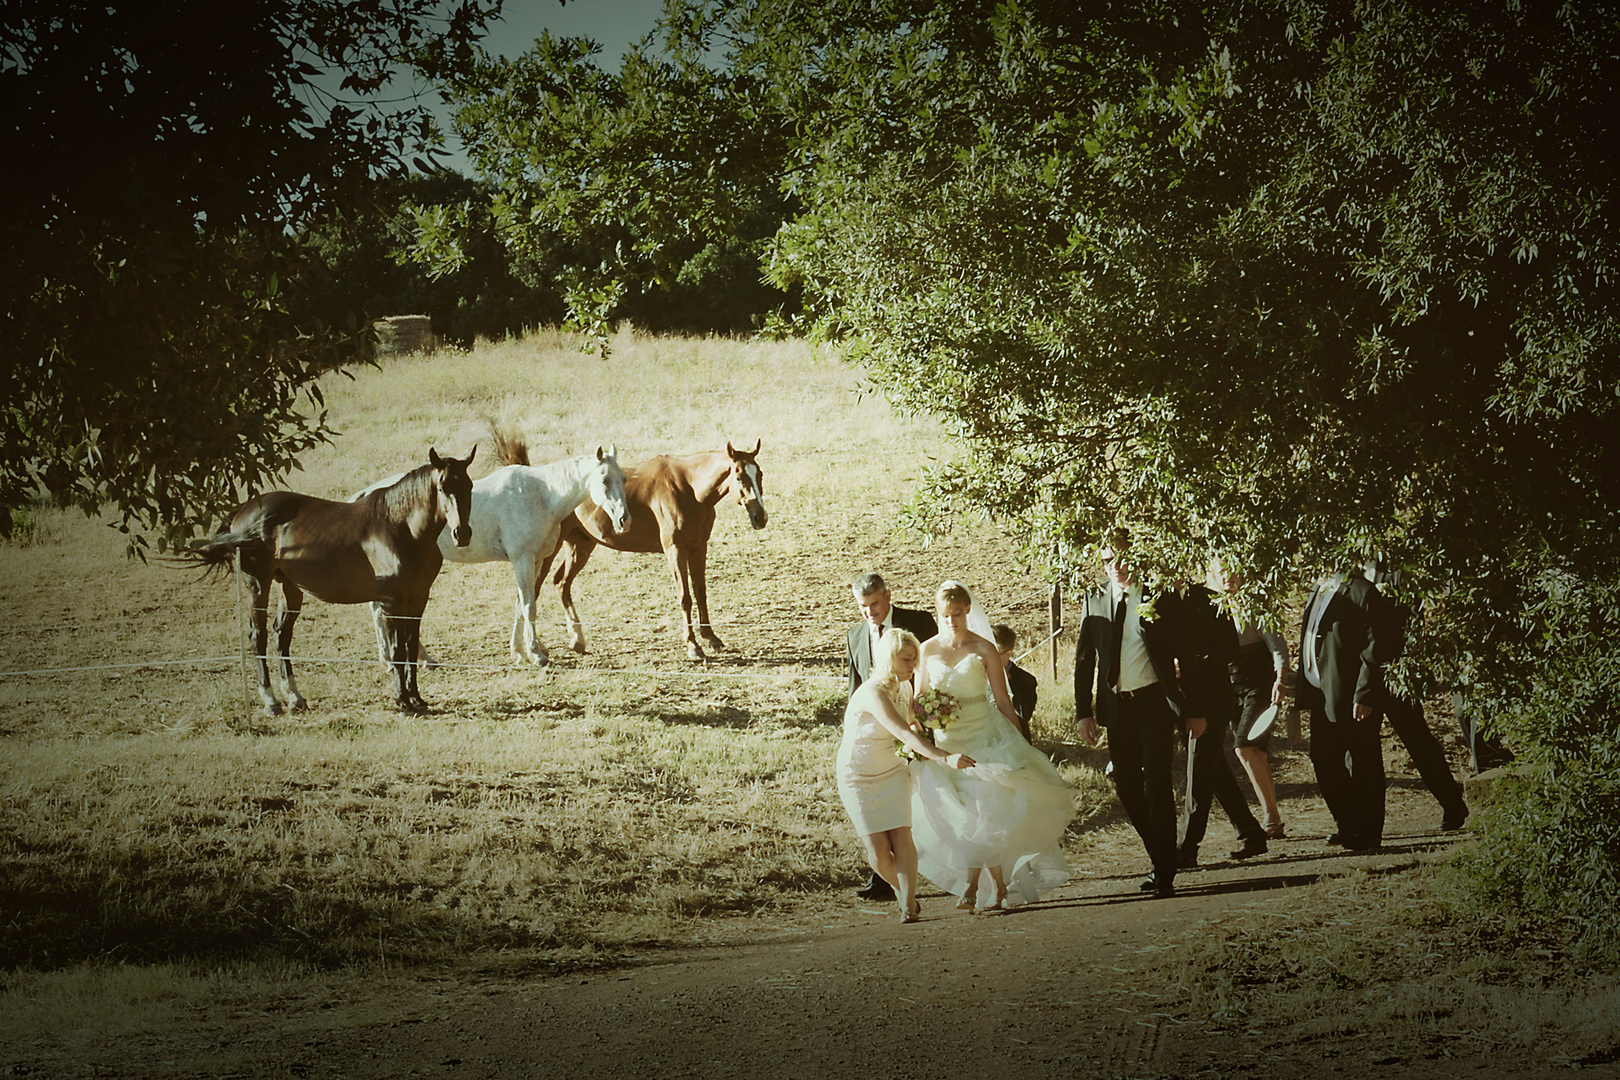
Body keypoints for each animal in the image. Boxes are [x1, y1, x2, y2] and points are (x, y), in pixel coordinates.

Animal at [183, 450, 476, 712]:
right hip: (257, 584)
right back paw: (270, 701)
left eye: (469, 486)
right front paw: (402, 702)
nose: (462, 533)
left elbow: (411, 649)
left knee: (281, 635)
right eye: (442, 487)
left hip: (290, 588)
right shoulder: (391, 603)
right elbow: (397, 652)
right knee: (259, 635)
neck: (399, 527)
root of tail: (241, 512)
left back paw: (294, 697)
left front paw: (417, 699)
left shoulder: (417, 601)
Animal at [358, 446, 628, 667]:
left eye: (624, 478)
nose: (623, 520)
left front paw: (519, 652)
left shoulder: (534, 561)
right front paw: (536, 654)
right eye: (604, 479)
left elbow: (522, 604)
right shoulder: (523, 560)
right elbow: (529, 606)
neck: (540, 495)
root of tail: (366, 497)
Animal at [550, 440, 764, 660]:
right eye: (738, 477)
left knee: (561, 583)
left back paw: (577, 640)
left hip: (580, 546)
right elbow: (685, 597)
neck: (689, 490)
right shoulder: (675, 551)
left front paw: (711, 638)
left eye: (760, 475)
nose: (760, 517)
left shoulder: (698, 548)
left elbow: (700, 592)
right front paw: (692, 645)